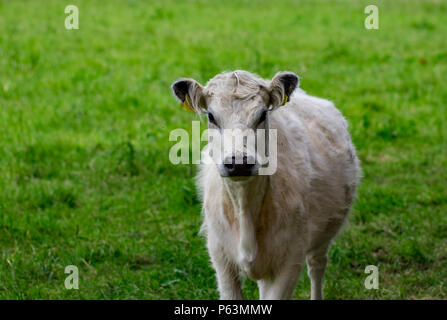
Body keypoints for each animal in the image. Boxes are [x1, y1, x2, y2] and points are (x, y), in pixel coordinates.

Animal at [172, 70, 360, 300]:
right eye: (211, 116)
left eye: (262, 115)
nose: (239, 163)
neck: (245, 208)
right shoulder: (220, 257)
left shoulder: (291, 258)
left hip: (323, 236)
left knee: (316, 267)